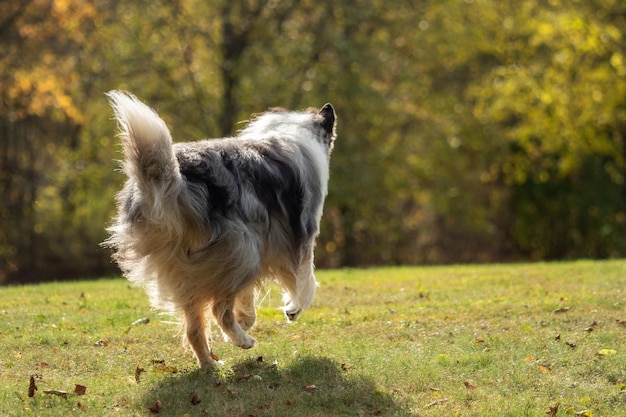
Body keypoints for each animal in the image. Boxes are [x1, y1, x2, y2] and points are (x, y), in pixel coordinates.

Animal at [103, 92, 336, 368]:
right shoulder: (301, 235)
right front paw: (292, 309)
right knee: (218, 310)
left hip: (191, 269)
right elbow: (305, 281)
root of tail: (175, 182)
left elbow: (248, 295)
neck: (289, 129)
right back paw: (241, 340)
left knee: (195, 328)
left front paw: (246, 317)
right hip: (243, 252)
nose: (329, 107)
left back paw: (210, 364)